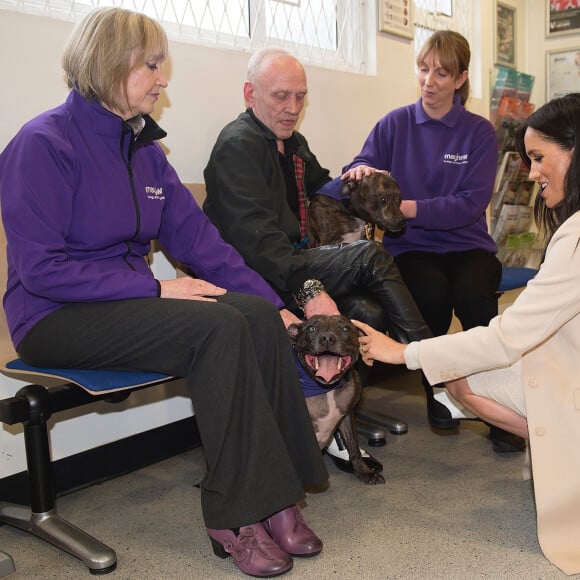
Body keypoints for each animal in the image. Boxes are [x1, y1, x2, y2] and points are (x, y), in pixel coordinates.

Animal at [288, 314, 386, 482]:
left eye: (345, 328)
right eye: (311, 328)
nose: (327, 338)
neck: (326, 389)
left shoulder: (347, 416)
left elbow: (354, 447)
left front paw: (364, 472)